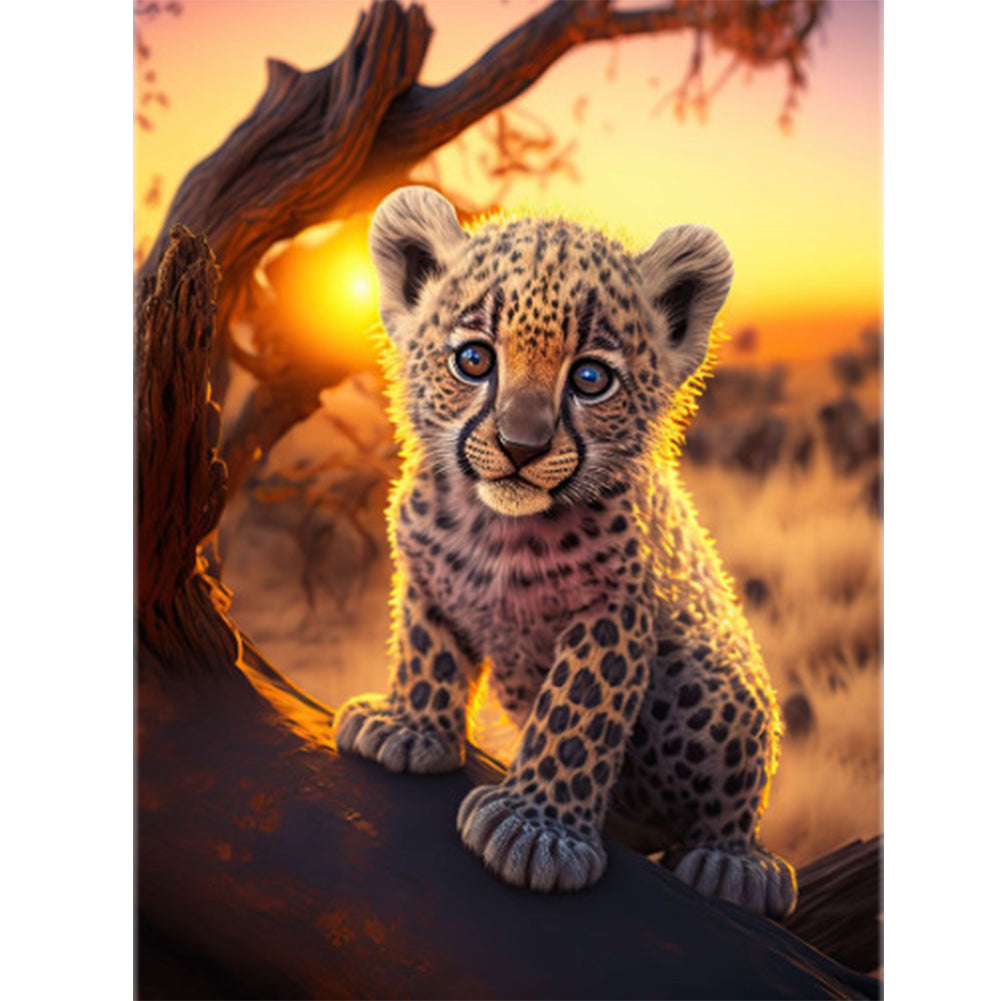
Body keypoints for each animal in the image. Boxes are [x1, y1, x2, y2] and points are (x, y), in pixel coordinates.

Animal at [333, 186, 797, 919]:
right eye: (474, 360)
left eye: (590, 378)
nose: (521, 446)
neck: (496, 532)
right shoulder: (424, 572)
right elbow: (425, 649)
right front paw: (407, 727)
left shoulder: (614, 611)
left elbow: (576, 713)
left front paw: (537, 832)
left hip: (709, 676)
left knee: (736, 787)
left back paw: (736, 866)